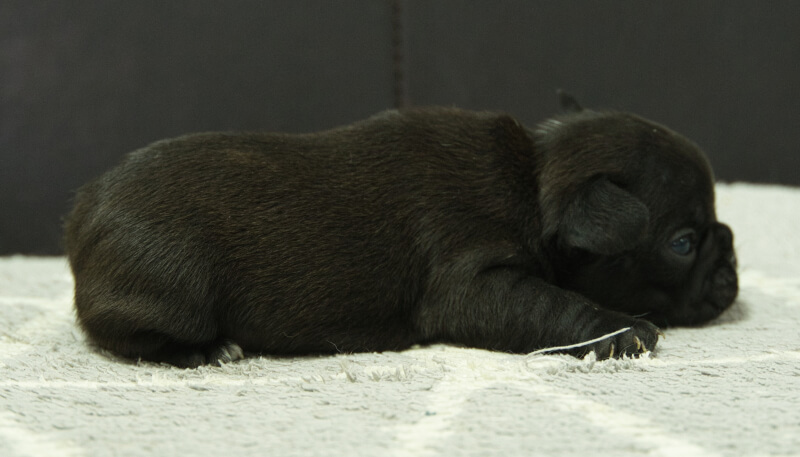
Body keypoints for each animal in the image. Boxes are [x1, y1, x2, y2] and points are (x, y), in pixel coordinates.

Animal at [65, 93, 740, 366]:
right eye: (683, 244)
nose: (732, 254)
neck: (533, 178)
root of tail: (81, 214)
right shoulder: (474, 281)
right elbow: (552, 303)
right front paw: (620, 331)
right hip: (170, 290)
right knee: (124, 337)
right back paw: (206, 351)